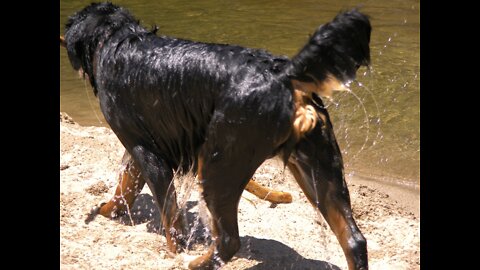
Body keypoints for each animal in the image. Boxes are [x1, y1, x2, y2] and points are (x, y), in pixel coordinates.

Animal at [61, 2, 372, 270]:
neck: (116, 39)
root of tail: (284, 75)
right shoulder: (142, 147)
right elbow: (124, 188)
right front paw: (107, 211)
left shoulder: (146, 152)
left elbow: (170, 217)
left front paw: (174, 251)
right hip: (319, 169)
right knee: (354, 239)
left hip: (218, 165)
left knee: (229, 240)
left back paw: (196, 263)